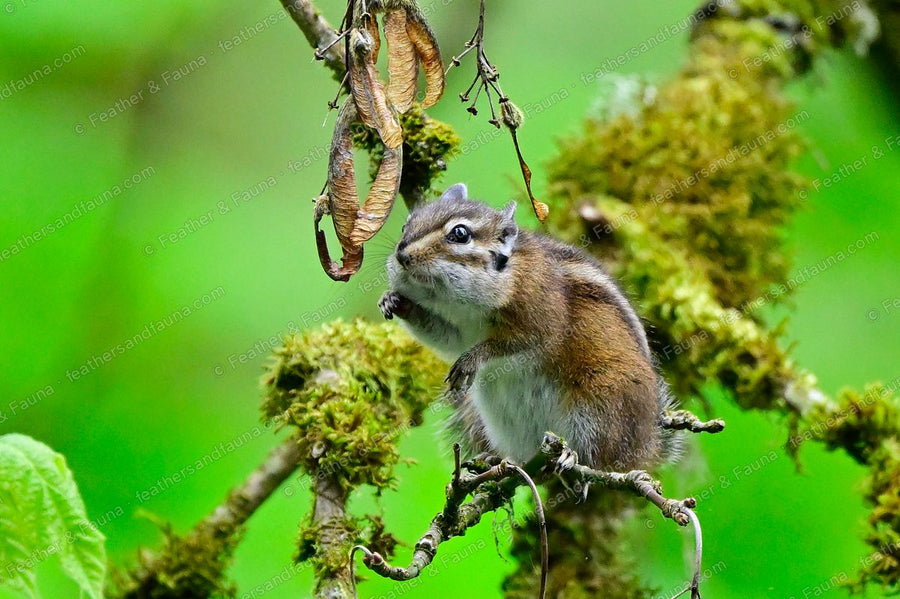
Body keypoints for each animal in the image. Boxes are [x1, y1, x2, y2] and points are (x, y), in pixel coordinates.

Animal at [379, 183, 679, 471]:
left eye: (460, 234)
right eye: (406, 225)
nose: (402, 255)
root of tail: (646, 447)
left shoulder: (543, 319)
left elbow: (517, 342)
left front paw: (472, 359)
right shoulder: (459, 330)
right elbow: (444, 338)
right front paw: (393, 301)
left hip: (600, 403)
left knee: (599, 458)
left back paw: (572, 456)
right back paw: (498, 462)